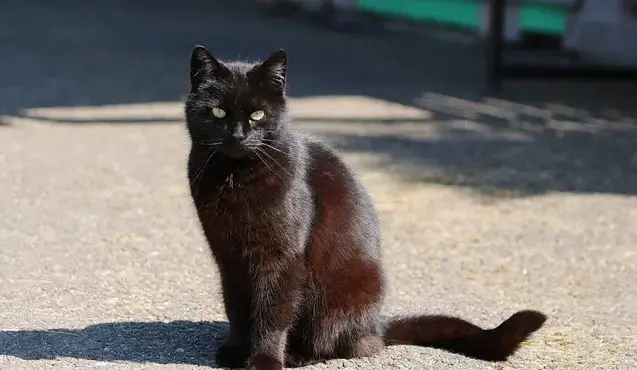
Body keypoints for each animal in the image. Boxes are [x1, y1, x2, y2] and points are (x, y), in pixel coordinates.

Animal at [184, 46, 548, 370]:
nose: (237, 135)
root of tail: (377, 325)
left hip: (343, 296)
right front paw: (235, 351)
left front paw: (264, 361)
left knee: (343, 345)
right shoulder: (228, 256)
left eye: (257, 114)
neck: (234, 177)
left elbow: (272, 313)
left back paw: (297, 355)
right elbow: (237, 308)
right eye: (218, 113)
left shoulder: (280, 258)